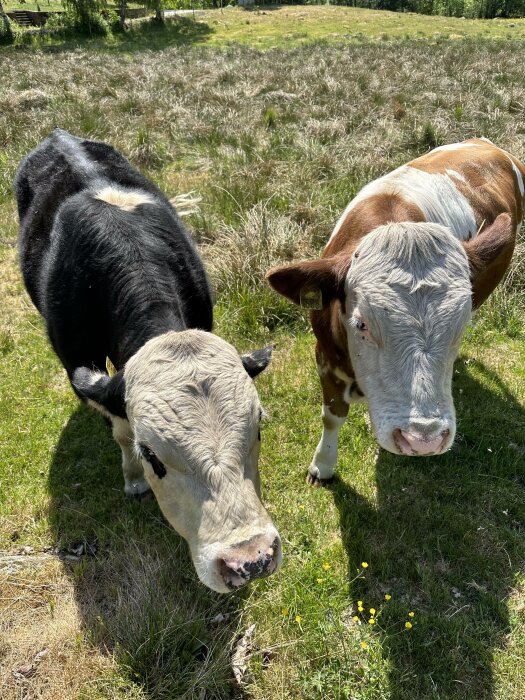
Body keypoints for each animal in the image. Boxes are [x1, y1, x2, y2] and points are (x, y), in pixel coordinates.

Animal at [14, 130, 280, 592]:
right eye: (152, 455)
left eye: (258, 428)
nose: (251, 559)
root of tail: (57, 136)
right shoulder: (81, 365)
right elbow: (119, 427)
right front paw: (134, 479)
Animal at [268, 139, 520, 484]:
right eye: (361, 324)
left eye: (461, 325)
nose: (423, 439)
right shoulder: (324, 355)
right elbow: (332, 416)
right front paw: (323, 465)